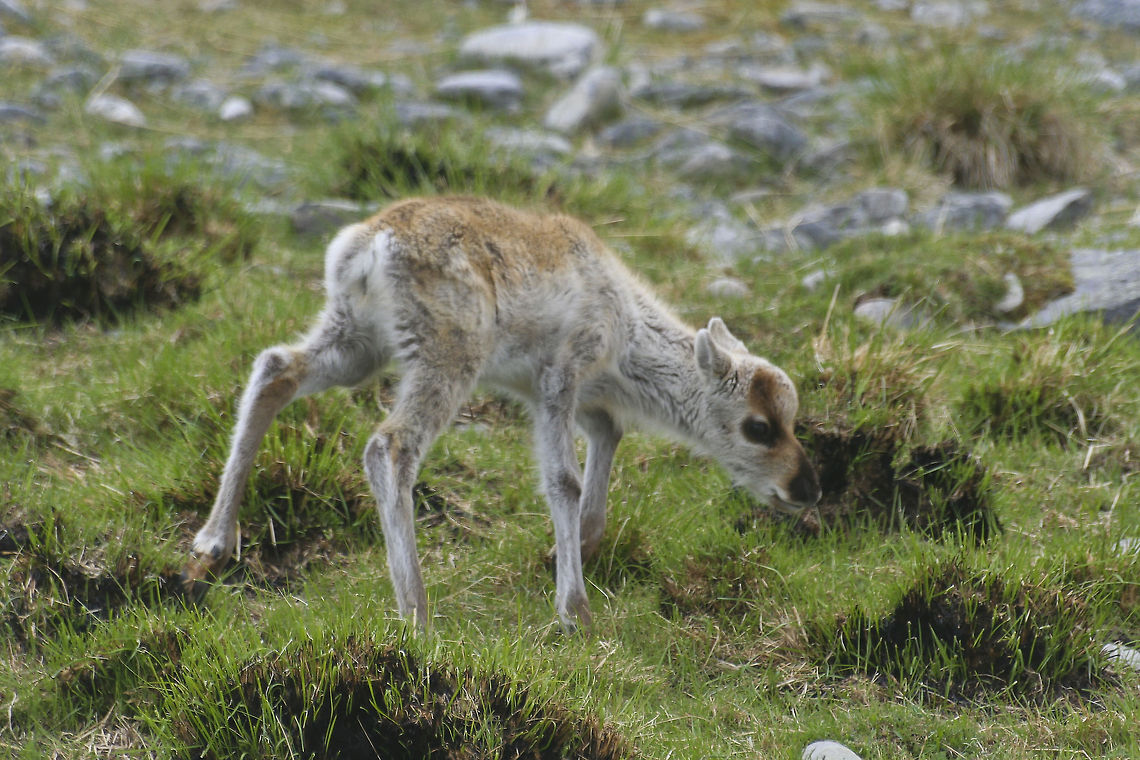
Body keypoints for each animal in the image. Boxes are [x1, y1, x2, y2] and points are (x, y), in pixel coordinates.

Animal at [182, 196, 821, 632]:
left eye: (792, 419)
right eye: (759, 427)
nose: (808, 487)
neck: (626, 331)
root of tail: (367, 246)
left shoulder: (571, 399)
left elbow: (605, 449)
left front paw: (574, 549)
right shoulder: (562, 378)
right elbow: (563, 480)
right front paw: (575, 610)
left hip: (357, 343)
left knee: (275, 368)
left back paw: (214, 540)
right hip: (447, 356)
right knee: (390, 446)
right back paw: (417, 613)